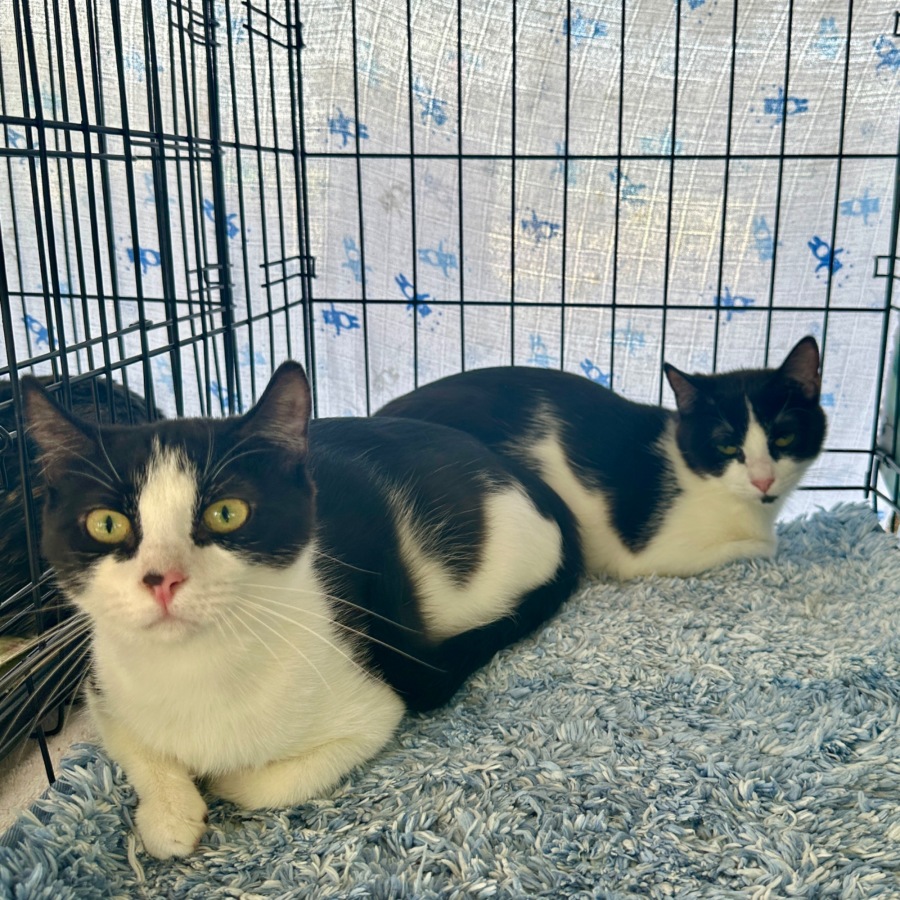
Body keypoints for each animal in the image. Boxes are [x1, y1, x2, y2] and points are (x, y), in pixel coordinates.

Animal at [19, 361, 582, 859]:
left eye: (227, 513)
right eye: (106, 524)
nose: (162, 578)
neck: (194, 667)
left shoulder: (372, 705)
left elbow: (272, 782)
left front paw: (220, 783)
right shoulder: (103, 685)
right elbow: (134, 744)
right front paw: (168, 813)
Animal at [377, 336, 827, 580]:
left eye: (784, 436)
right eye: (727, 446)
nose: (763, 480)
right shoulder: (652, 555)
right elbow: (765, 546)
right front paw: (766, 541)